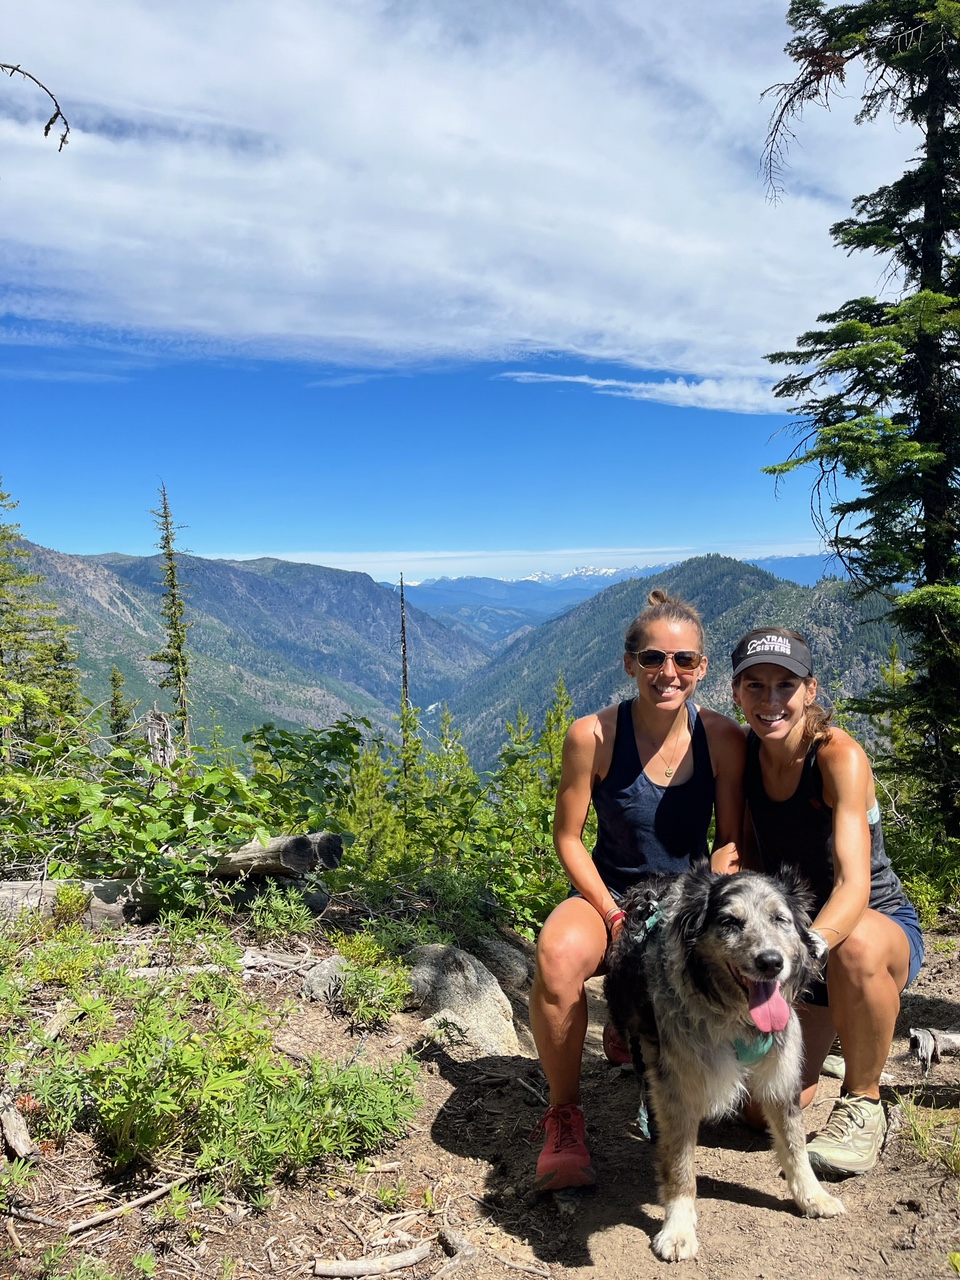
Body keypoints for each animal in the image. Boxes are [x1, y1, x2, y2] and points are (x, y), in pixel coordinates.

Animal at [604, 864, 844, 1262]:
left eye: (780, 919)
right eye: (730, 922)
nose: (771, 962)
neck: (735, 1016)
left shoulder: (781, 1078)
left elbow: (794, 1144)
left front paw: (813, 1197)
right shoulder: (677, 1087)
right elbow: (680, 1164)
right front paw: (678, 1228)